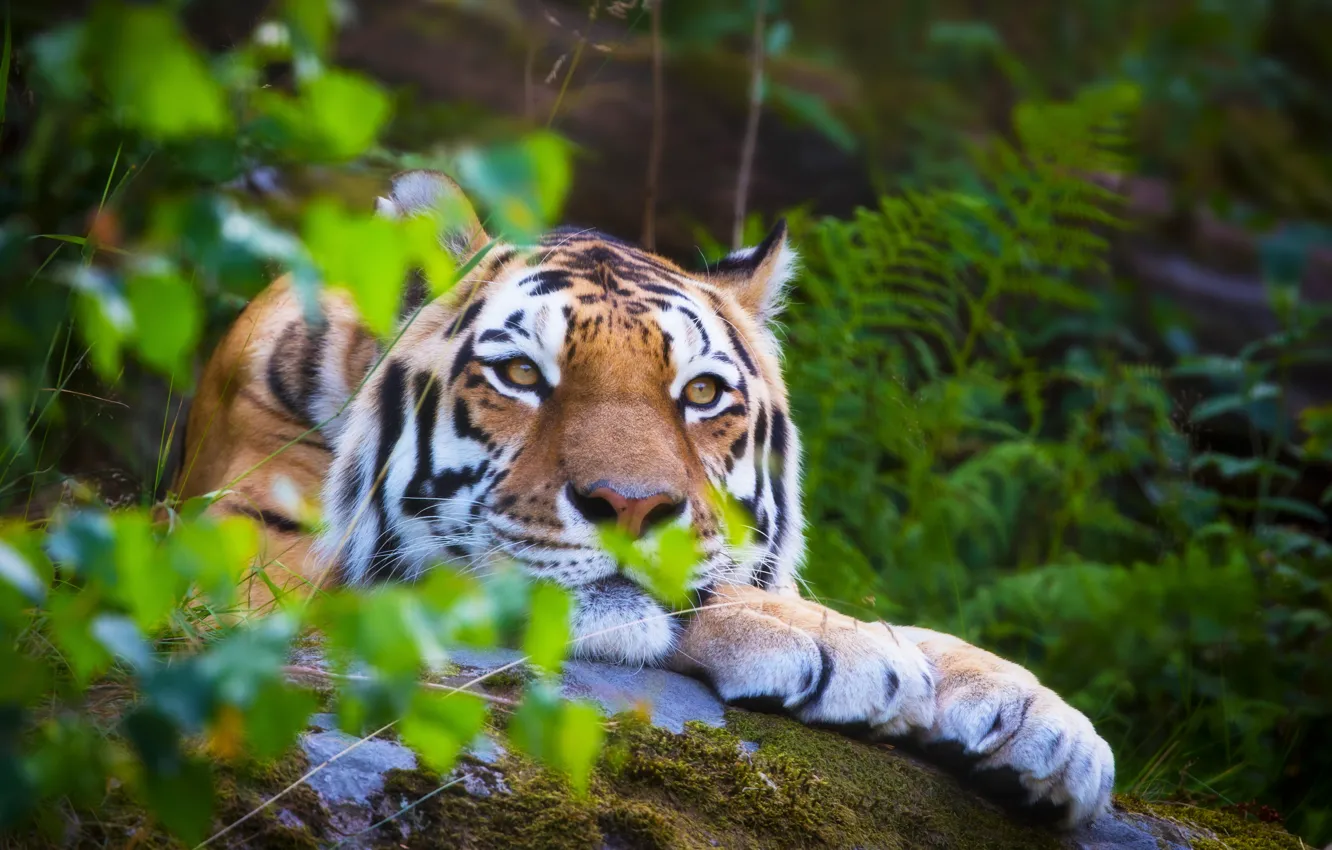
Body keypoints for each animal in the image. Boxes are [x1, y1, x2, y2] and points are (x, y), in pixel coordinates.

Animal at [175, 170, 1115, 827]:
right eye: (522, 375)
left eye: (701, 394)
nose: (631, 507)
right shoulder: (254, 574)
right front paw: (835, 645)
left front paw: (1042, 718)